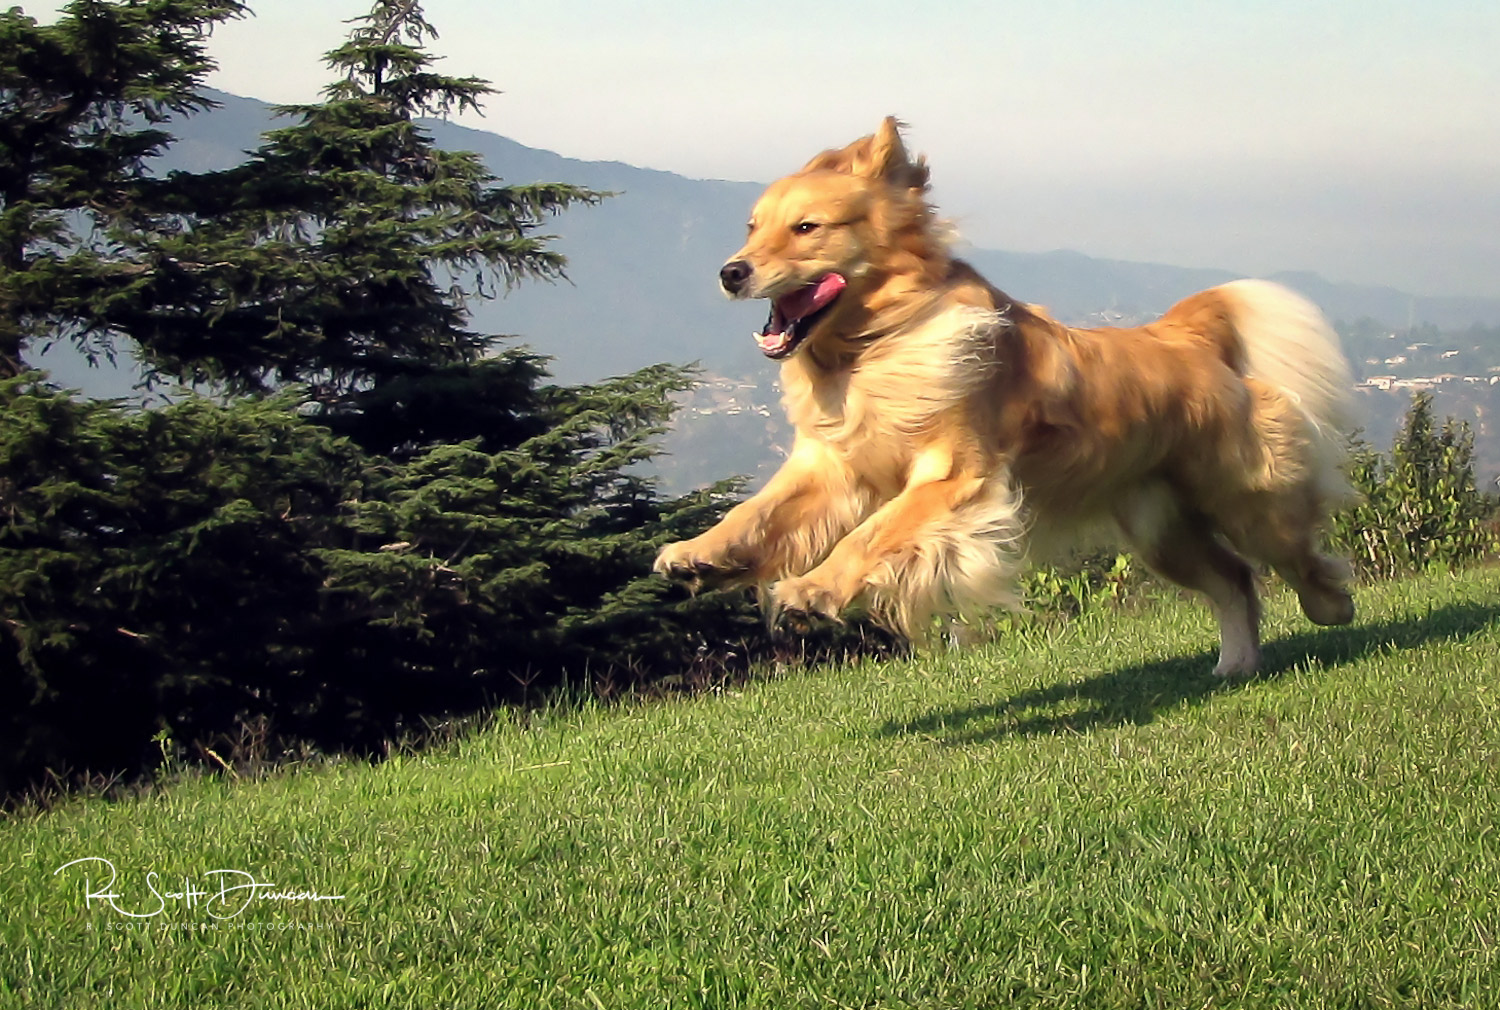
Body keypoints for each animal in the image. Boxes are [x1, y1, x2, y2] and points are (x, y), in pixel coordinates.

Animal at [651, 116, 1356, 678]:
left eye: (806, 228)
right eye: (752, 227)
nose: (731, 271)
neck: (873, 350)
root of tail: (1181, 334)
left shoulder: (954, 477)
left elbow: (872, 535)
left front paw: (814, 588)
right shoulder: (831, 468)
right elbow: (757, 514)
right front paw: (698, 556)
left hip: (1244, 500)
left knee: (1290, 556)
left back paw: (1332, 606)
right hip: (1160, 529)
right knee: (1233, 578)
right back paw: (1236, 664)